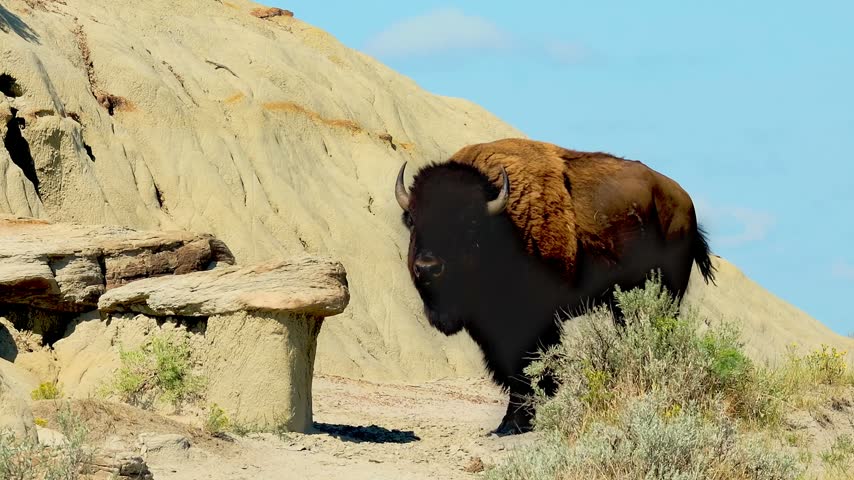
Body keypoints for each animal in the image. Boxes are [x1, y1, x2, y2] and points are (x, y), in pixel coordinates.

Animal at [394, 138, 716, 435]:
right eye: (412, 219)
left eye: (470, 223)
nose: (427, 267)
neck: (503, 227)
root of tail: (685, 202)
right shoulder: (491, 328)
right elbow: (511, 370)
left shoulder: (532, 323)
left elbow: (526, 367)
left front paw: (515, 422)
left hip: (668, 292)